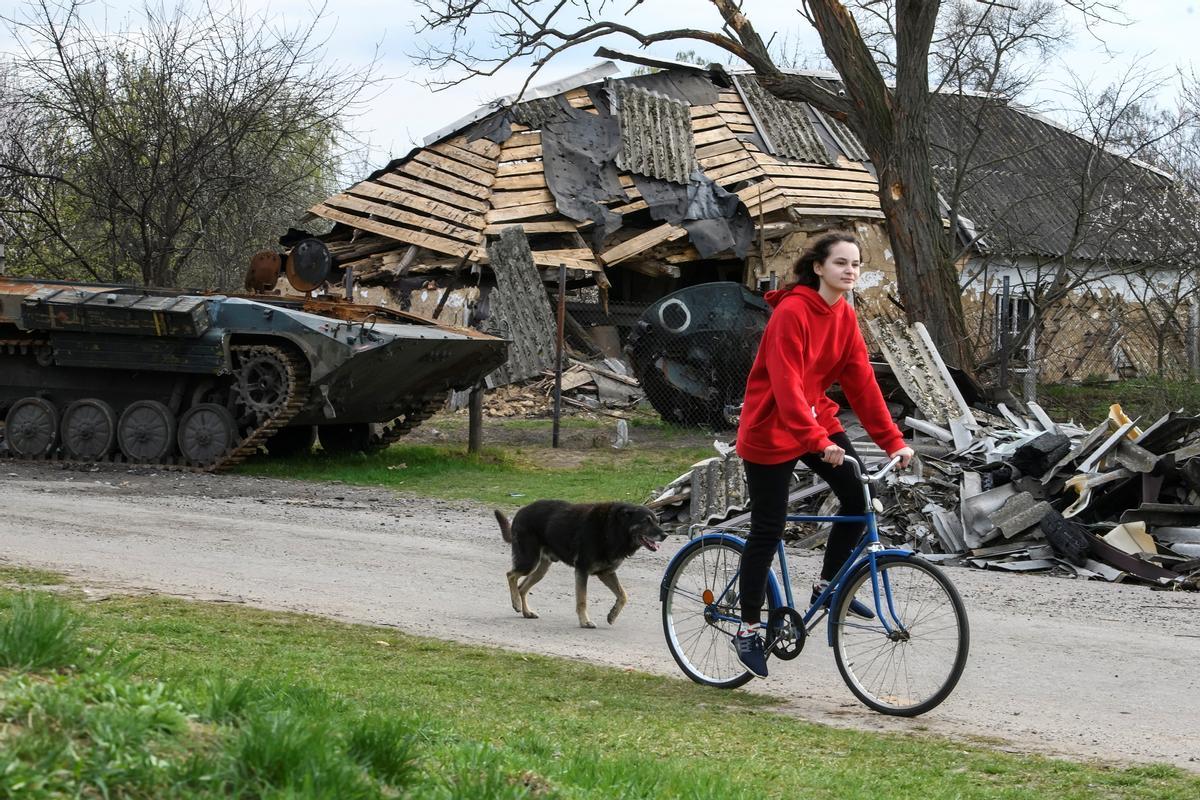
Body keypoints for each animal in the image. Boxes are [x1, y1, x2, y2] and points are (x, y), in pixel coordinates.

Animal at [494, 501, 667, 623]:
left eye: (656, 521)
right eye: (646, 521)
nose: (665, 535)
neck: (612, 528)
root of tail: (520, 512)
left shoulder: (606, 573)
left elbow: (623, 595)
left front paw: (612, 615)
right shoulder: (582, 570)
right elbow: (582, 599)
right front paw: (585, 621)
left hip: (540, 569)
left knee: (522, 587)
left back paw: (526, 612)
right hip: (529, 561)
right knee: (511, 575)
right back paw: (516, 603)